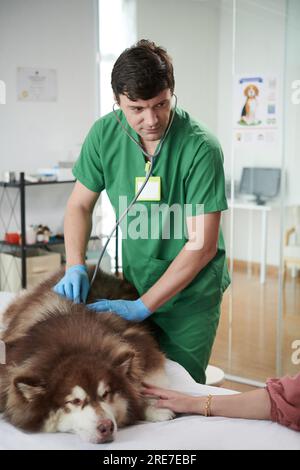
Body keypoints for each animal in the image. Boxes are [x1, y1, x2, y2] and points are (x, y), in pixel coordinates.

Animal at [0, 268, 173, 444]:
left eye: (105, 394)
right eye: (75, 401)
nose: (106, 427)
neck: (72, 346)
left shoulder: (141, 345)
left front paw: (152, 407)